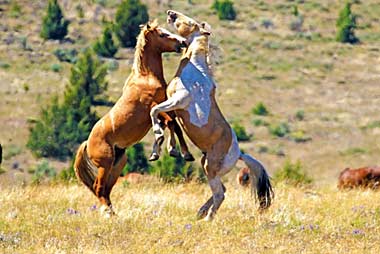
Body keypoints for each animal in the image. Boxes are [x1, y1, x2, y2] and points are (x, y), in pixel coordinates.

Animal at [74, 20, 193, 216]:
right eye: (162, 34)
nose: (182, 42)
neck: (146, 78)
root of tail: (87, 143)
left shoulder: (166, 105)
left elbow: (174, 125)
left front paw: (181, 152)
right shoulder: (153, 107)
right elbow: (169, 123)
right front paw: (168, 148)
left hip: (118, 164)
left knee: (106, 189)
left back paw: (113, 212)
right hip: (105, 165)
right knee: (99, 188)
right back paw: (107, 213)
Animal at [149, 10, 274, 220]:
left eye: (189, 21)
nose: (171, 13)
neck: (195, 71)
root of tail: (238, 154)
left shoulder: (179, 100)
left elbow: (155, 111)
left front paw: (159, 140)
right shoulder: (173, 107)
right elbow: (169, 122)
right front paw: (167, 150)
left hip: (210, 168)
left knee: (220, 194)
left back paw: (207, 218)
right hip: (206, 165)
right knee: (222, 190)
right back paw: (201, 212)